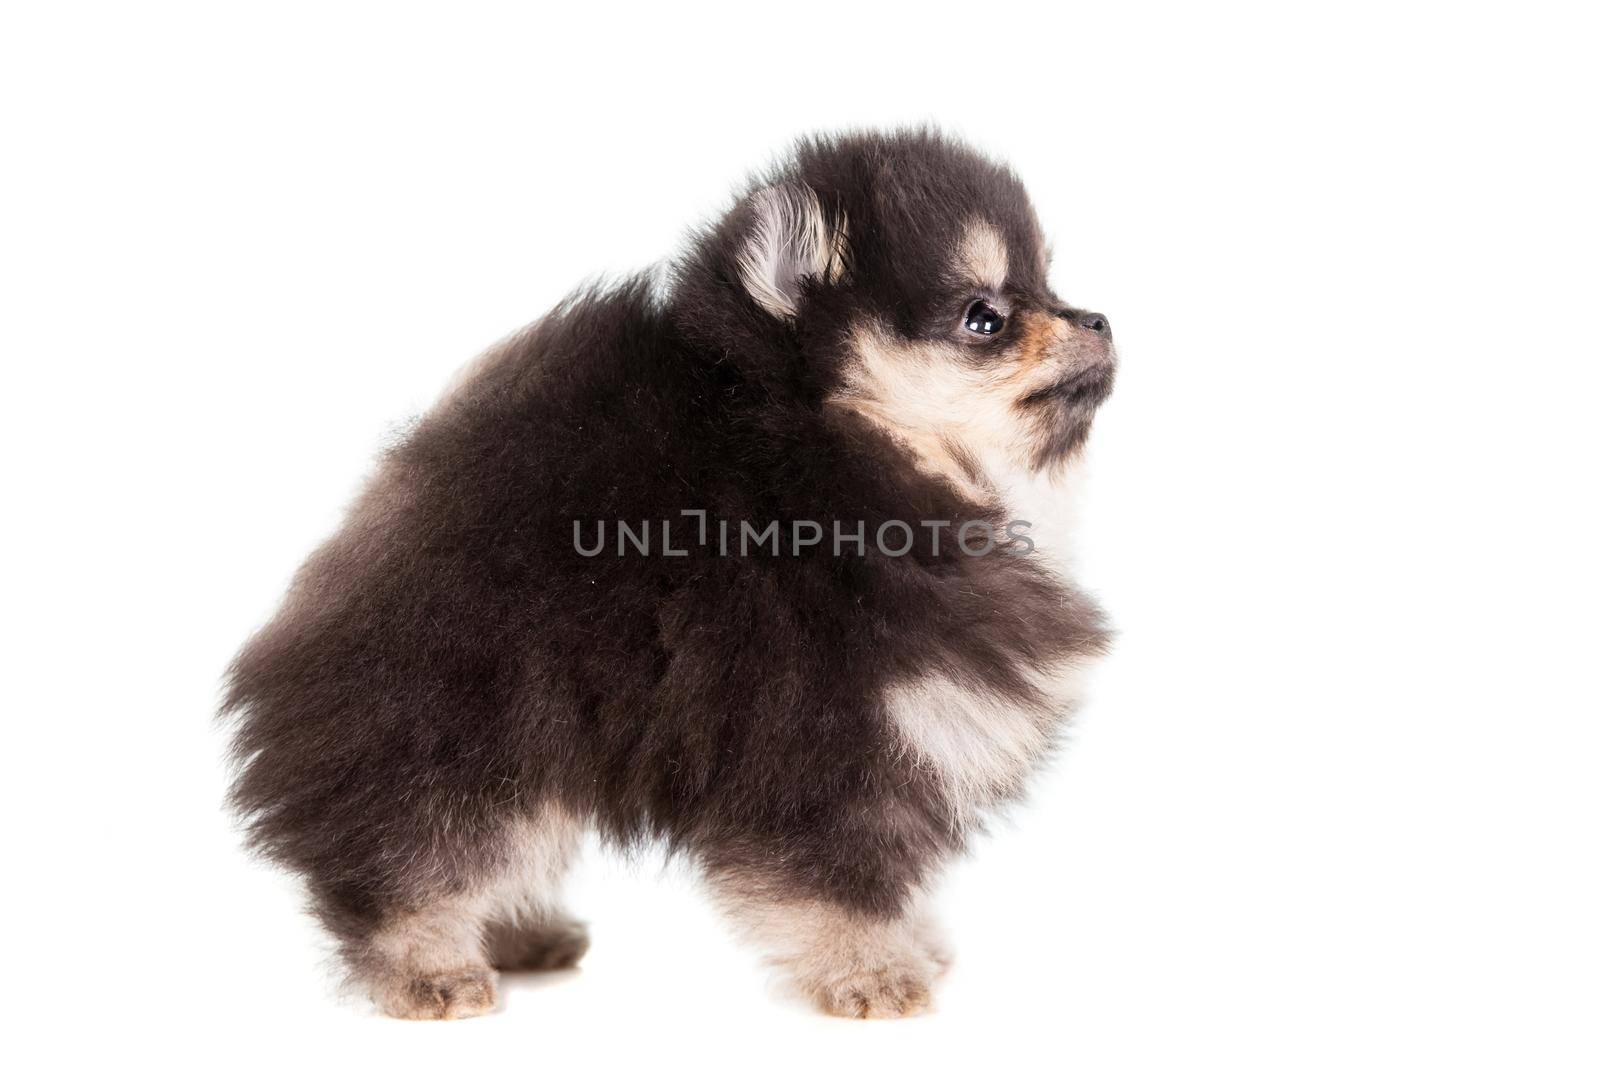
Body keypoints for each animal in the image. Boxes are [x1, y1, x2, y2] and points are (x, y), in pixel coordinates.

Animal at [225, 128, 1120, 1017]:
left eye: (1050, 285)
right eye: (985, 317)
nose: (1100, 318)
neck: (837, 466)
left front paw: (914, 943)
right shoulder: (816, 730)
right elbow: (839, 874)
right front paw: (870, 971)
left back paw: (518, 933)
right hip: (459, 714)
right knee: (418, 849)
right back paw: (428, 966)